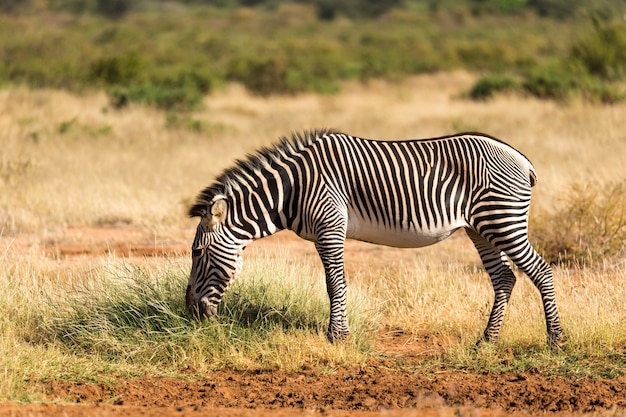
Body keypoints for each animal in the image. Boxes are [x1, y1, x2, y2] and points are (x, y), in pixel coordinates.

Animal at [184, 128, 560, 346]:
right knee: (505, 278)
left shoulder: (330, 226)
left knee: (541, 271)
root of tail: (520, 157)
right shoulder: (325, 232)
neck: (292, 188)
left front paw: (338, 337)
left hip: (502, 219)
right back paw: (487, 341)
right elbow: (334, 283)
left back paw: (555, 340)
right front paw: (338, 333)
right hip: (480, 227)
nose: (190, 313)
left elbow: (335, 283)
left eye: (198, 253)